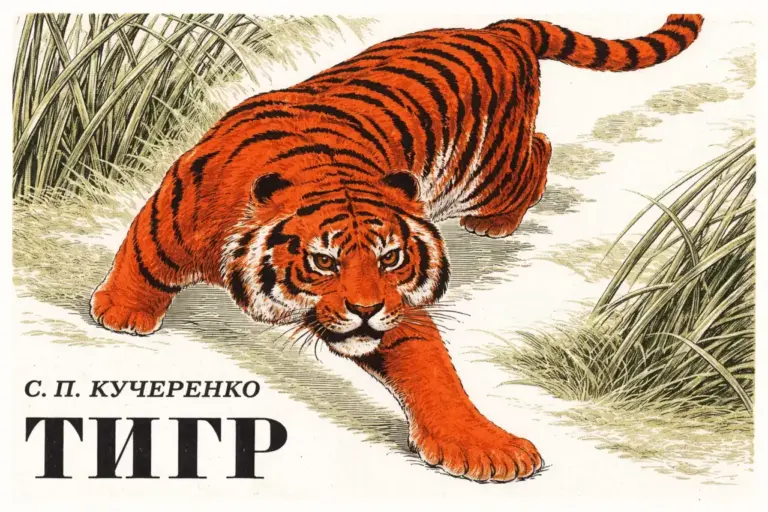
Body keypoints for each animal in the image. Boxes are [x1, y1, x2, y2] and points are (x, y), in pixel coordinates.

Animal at [91, 14, 704, 482]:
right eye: (323, 261)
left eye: (391, 258)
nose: (366, 310)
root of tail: (499, 30)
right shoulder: (173, 210)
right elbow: (143, 254)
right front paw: (121, 311)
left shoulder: (399, 313)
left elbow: (433, 372)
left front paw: (487, 449)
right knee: (542, 146)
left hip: (491, 170)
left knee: (541, 148)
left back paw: (497, 223)